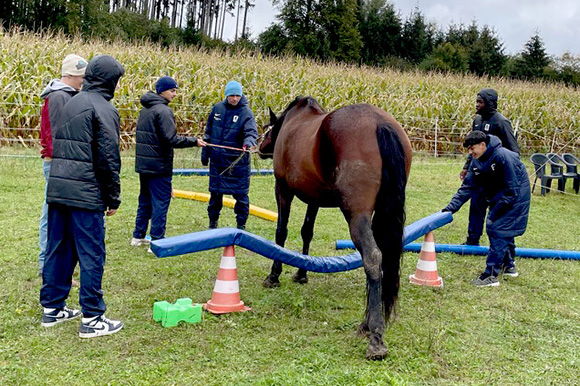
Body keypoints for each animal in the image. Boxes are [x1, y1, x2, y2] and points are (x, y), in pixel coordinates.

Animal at [258, 95, 412, 358]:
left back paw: (375, 336)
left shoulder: (283, 190)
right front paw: (301, 273)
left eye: (269, 128)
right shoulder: (313, 198)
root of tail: (380, 123)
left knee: (373, 257)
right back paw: (367, 323)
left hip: (356, 215)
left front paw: (274, 276)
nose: (259, 146)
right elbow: (306, 232)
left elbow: (281, 232)